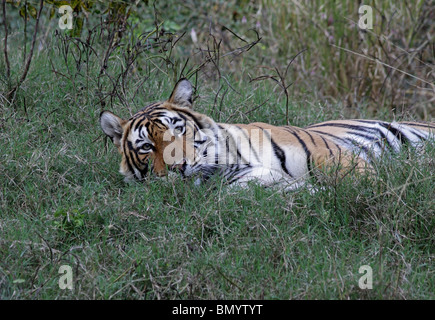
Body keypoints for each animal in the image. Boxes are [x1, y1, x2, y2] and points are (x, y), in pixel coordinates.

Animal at [99, 79, 435, 190]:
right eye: (146, 147)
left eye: (178, 130)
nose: (177, 168)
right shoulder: (262, 187)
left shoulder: (327, 152)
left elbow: (363, 182)